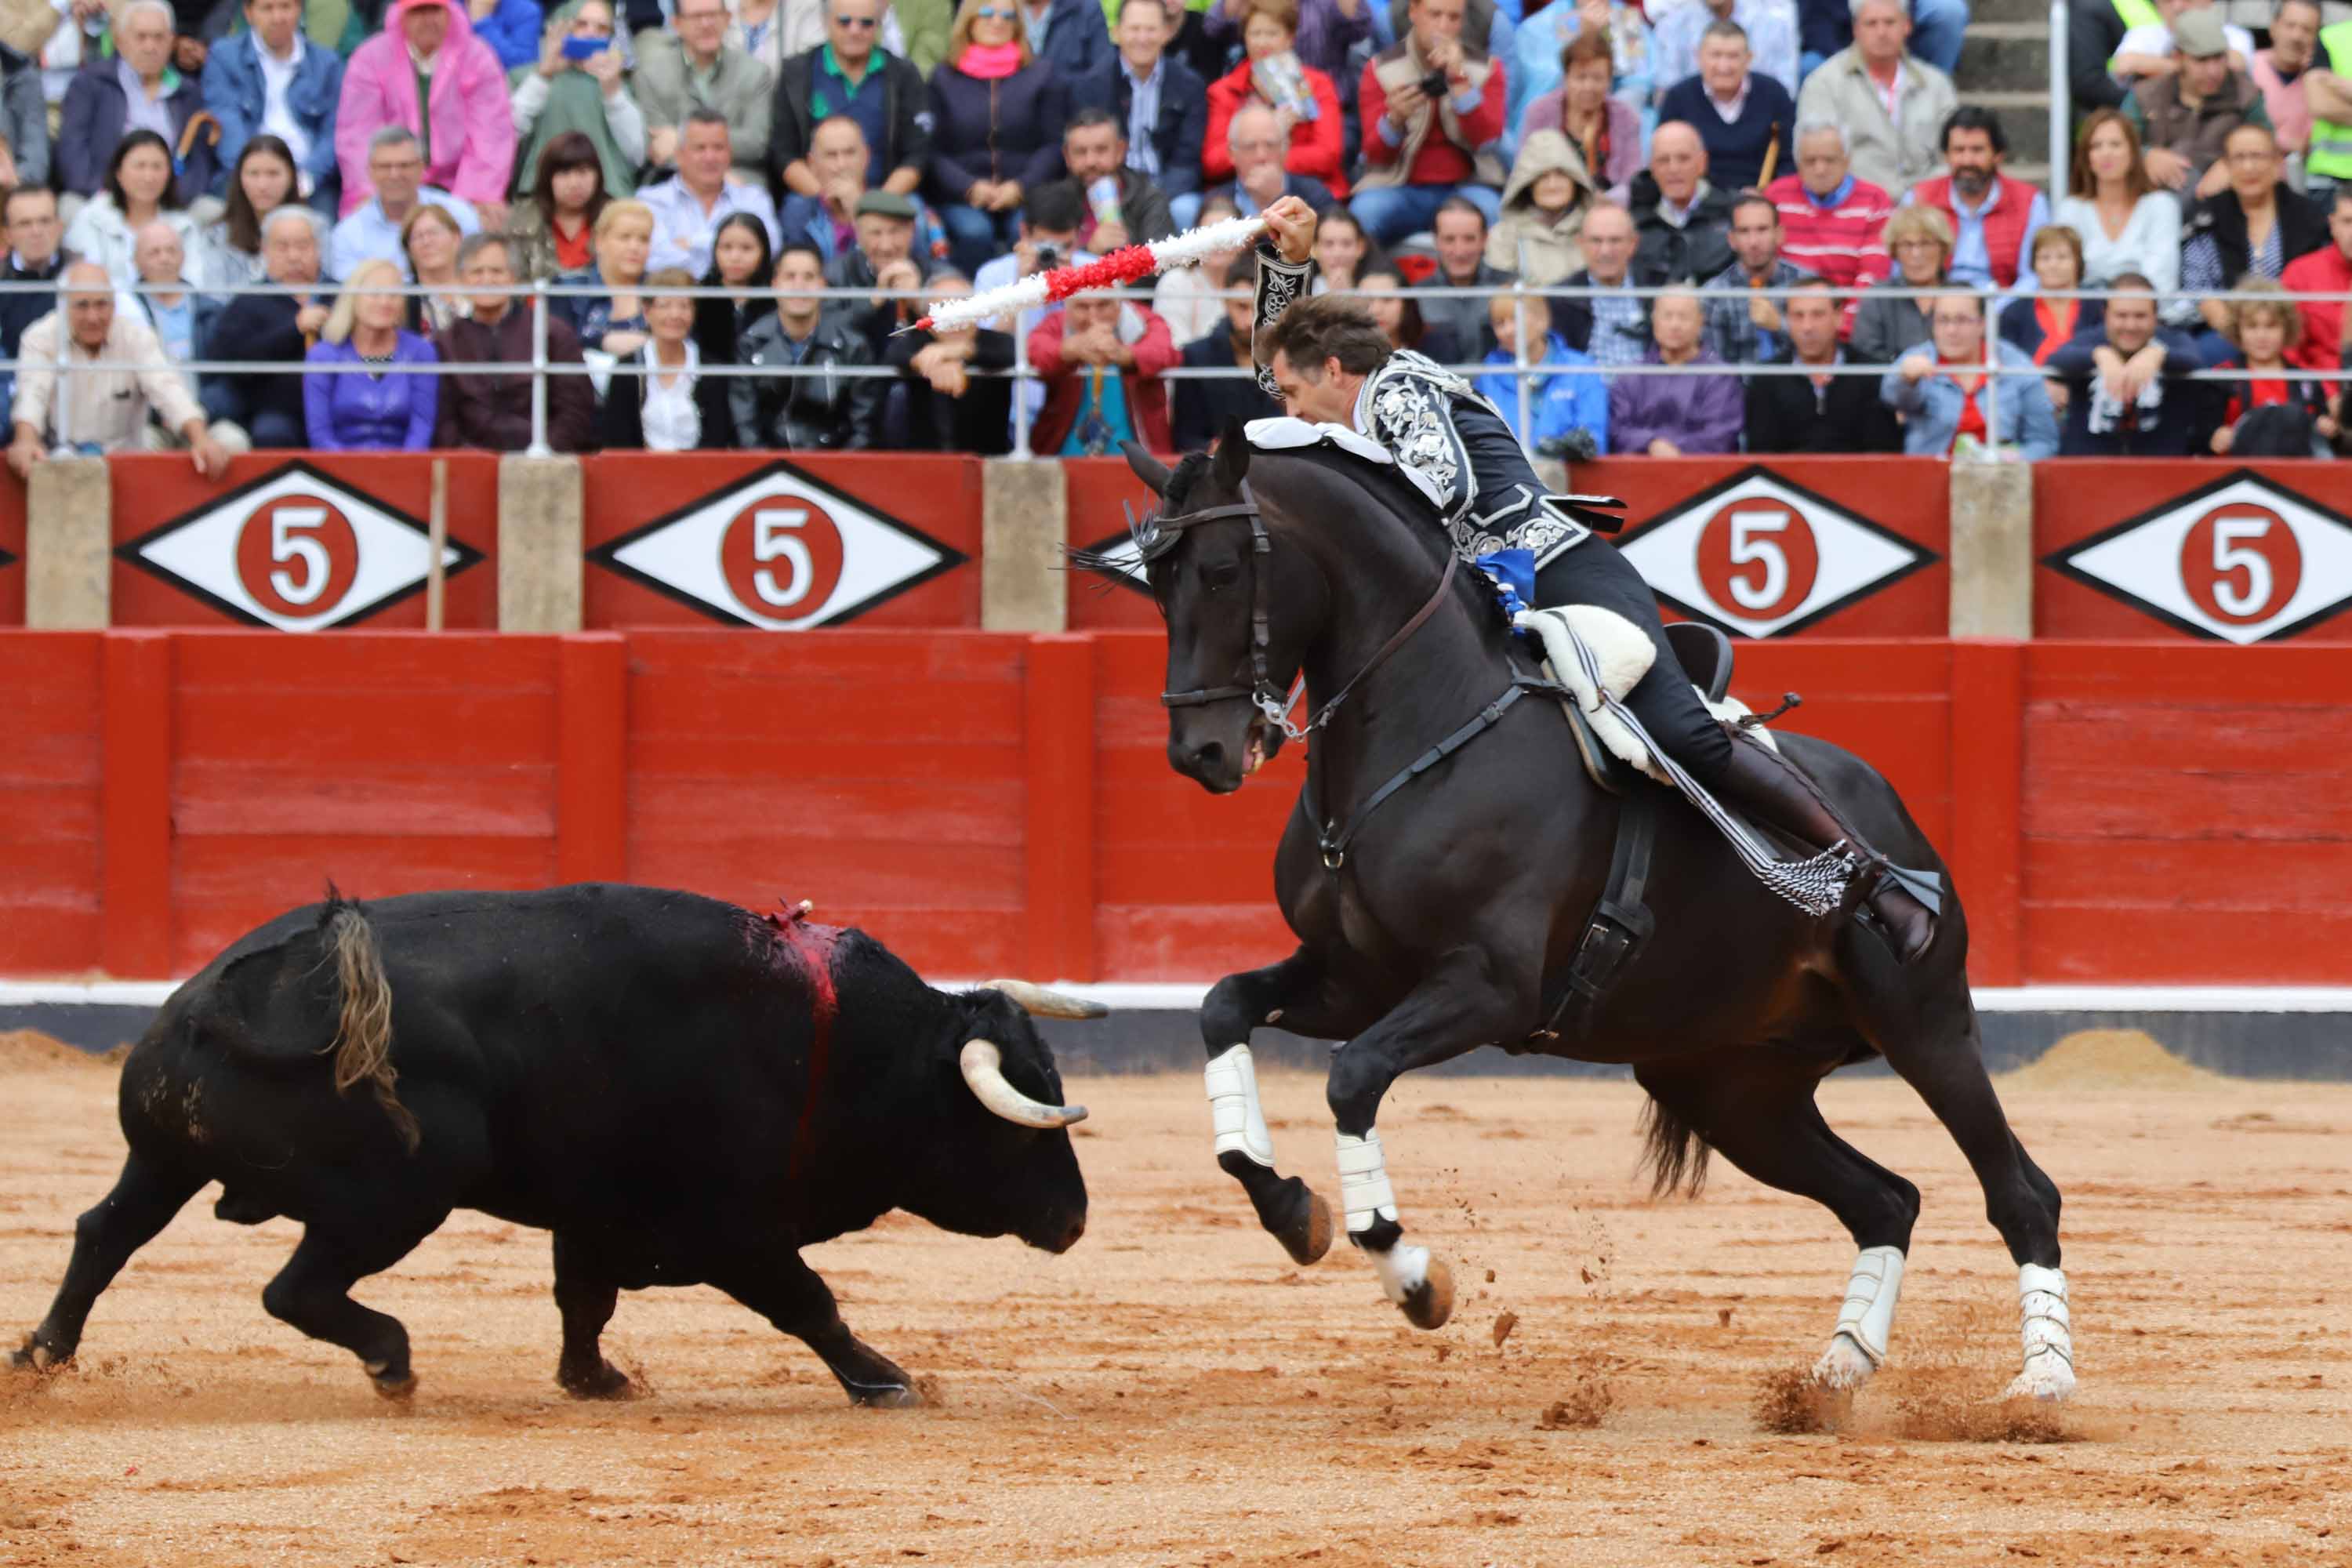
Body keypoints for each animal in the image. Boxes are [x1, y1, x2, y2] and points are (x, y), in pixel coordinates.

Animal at [11, 884, 1091, 1410]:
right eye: (1010, 1116)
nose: (1077, 1218)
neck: (844, 1042)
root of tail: (230, 994)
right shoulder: (731, 1228)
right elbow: (809, 1302)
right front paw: (885, 1379)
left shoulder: (595, 1207)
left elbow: (585, 1299)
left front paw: (594, 1380)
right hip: (398, 1195)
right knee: (296, 1288)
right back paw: (393, 1362)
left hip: (165, 1156)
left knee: (103, 1232)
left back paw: (40, 1353)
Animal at [1091, 434, 2070, 1401]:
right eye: (1154, 578)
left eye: (1222, 569)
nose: (1201, 751)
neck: (1427, 725)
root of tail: (1894, 814)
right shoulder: (1352, 974)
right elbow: (1223, 1004)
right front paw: (1292, 1208)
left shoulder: (1487, 985)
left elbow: (1353, 1075)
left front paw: (1413, 1275)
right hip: (1731, 1086)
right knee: (1886, 1197)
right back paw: (1836, 1369)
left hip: (1924, 1024)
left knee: (2021, 1191)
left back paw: (2042, 1384)